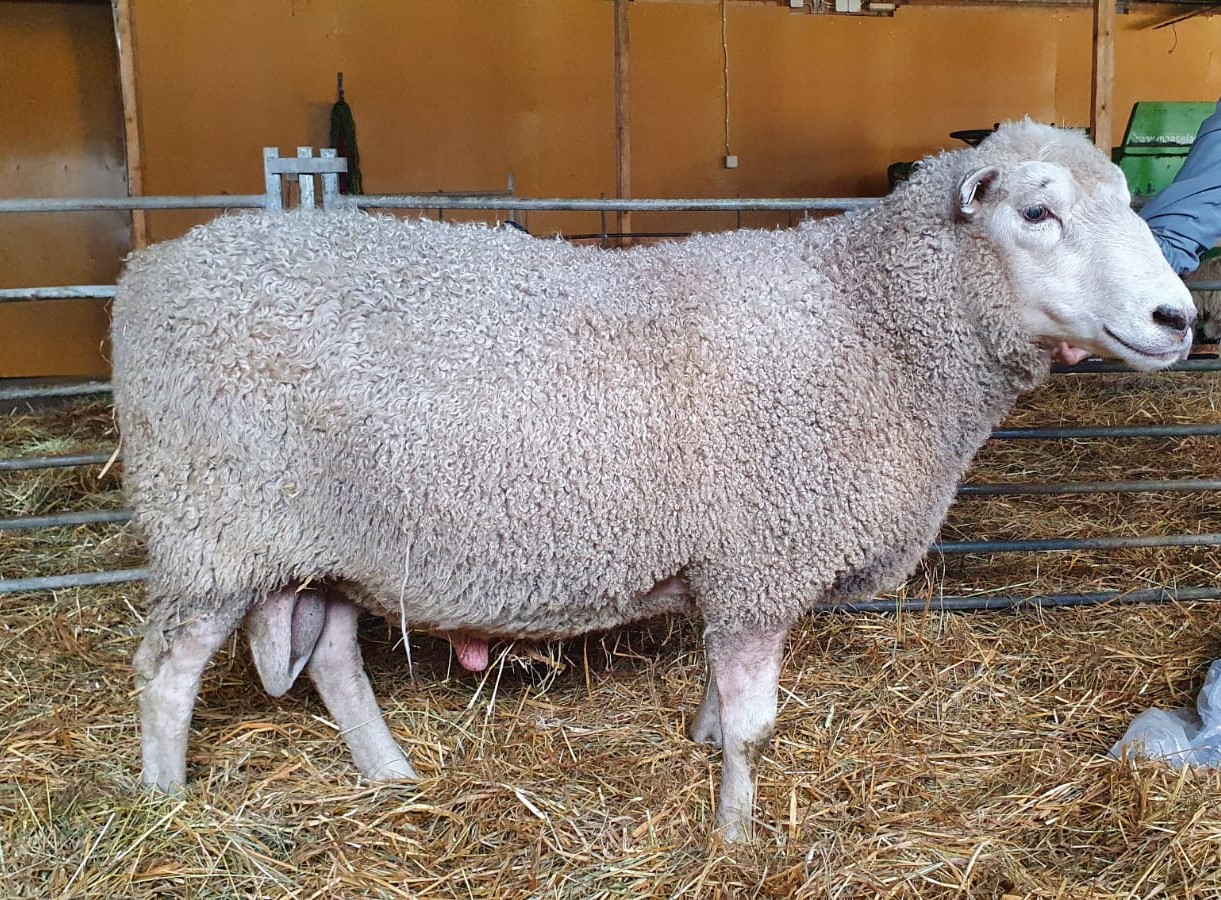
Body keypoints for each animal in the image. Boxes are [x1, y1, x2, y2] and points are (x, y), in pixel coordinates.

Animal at [111, 120, 1196, 841]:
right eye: (1037, 211)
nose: (1179, 319)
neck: (872, 326)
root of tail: (148, 271)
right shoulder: (763, 559)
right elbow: (758, 727)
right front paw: (735, 835)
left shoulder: (738, 565)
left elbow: (723, 703)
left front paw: (706, 754)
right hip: (214, 526)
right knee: (164, 673)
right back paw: (163, 806)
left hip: (331, 539)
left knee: (333, 662)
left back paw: (389, 776)